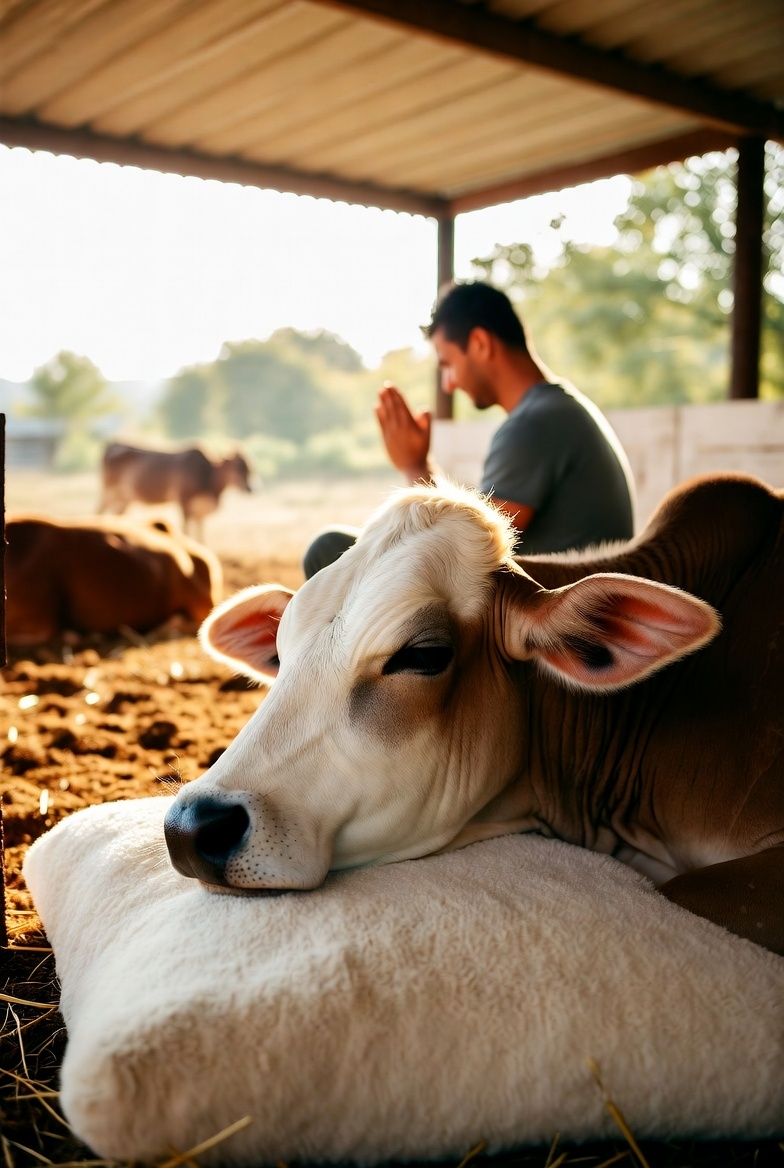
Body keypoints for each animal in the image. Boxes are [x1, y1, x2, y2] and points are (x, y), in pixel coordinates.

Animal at [99, 443, 252, 540]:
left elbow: (200, 535)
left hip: (124, 498)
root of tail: (113, 446)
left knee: (117, 517)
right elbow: (185, 531)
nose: (249, 488)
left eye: (249, 468)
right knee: (99, 512)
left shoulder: (199, 512)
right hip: (109, 492)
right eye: (237, 467)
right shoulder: (183, 501)